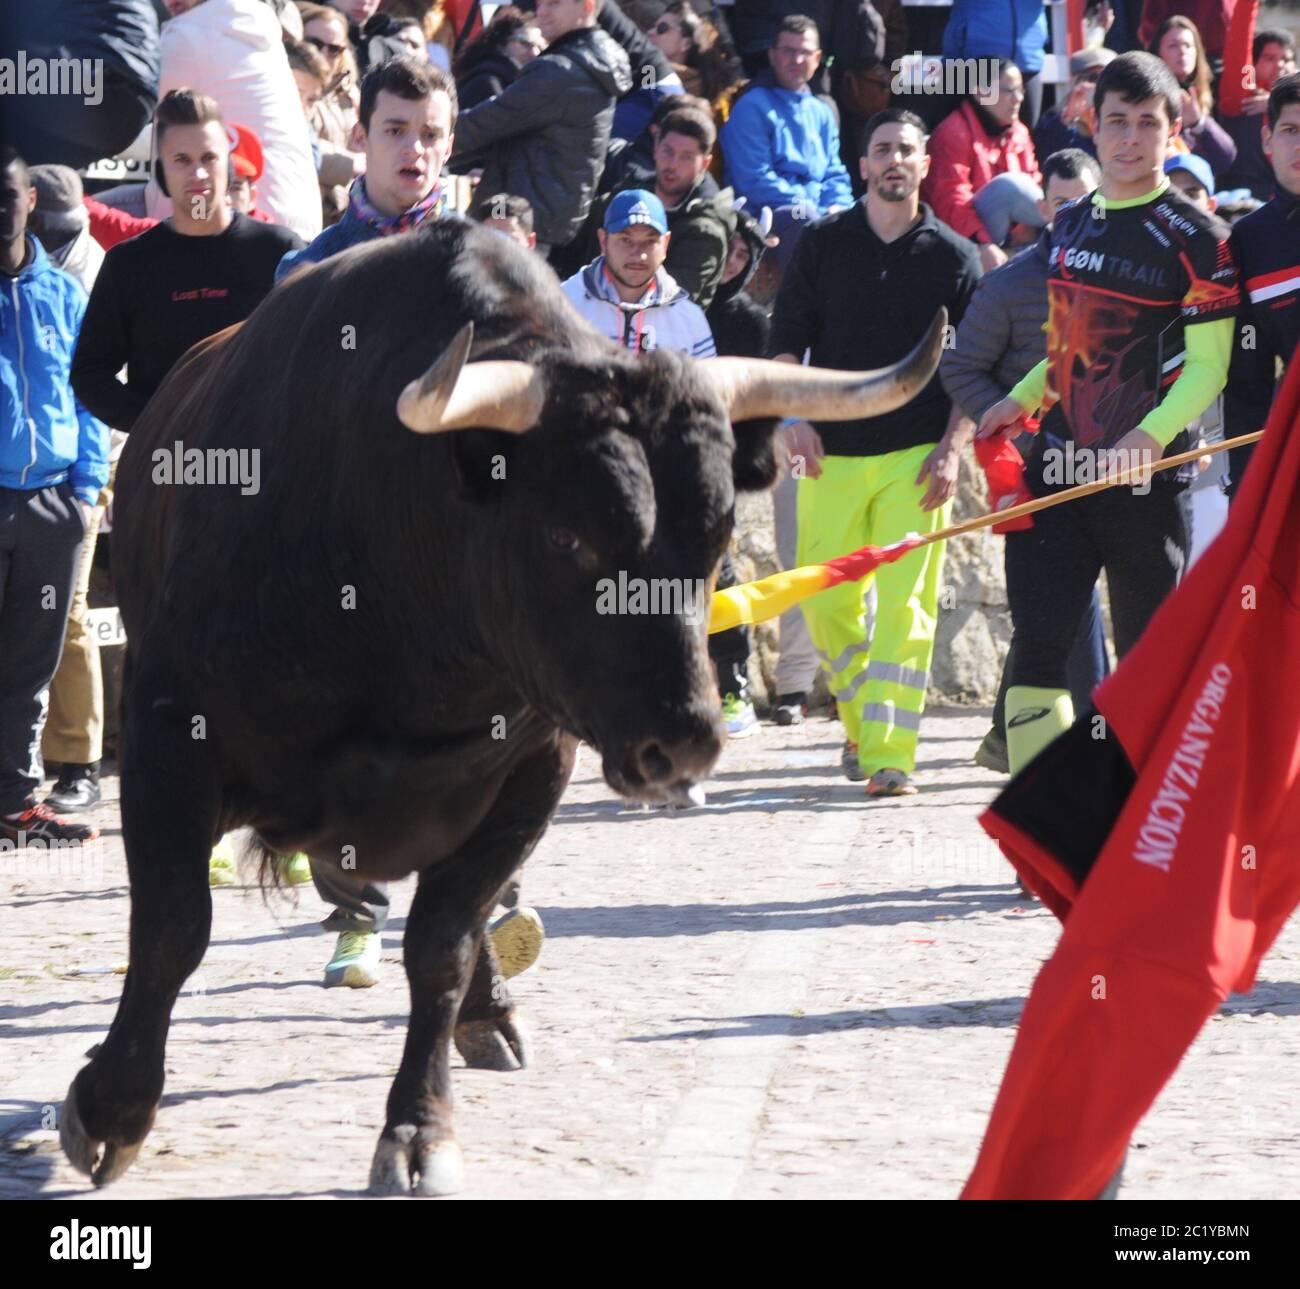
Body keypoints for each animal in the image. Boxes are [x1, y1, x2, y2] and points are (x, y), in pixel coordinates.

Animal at [61, 216, 941, 1195]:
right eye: (567, 536)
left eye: (716, 536)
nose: (684, 740)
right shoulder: (167, 742)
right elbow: (174, 926)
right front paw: (111, 1106)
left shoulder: (531, 772)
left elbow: (442, 944)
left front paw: (420, 1124)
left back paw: (489, 1010)